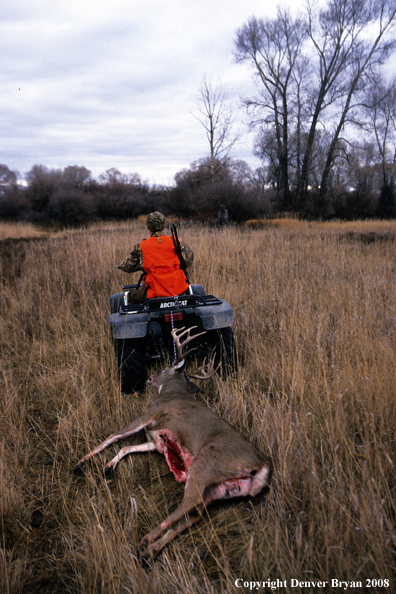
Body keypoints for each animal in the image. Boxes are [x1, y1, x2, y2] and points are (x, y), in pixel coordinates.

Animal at [74, 324, 270, 556]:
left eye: (165, 369)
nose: (150, 377)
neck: (170, 393)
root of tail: (262, 464)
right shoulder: (155, 442)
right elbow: (127, 447)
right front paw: (107, 467)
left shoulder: (148, 416)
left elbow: (114, 436)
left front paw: (81, 462)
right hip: (220, 488)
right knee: (195, 514)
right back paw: (150, 551)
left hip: (206, 465)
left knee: (187, 506)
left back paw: (145, 541)